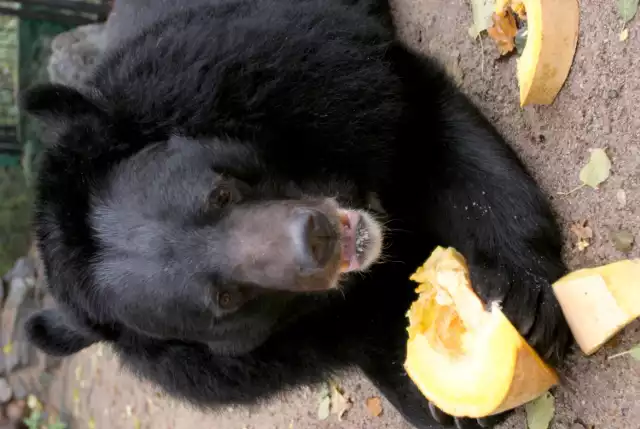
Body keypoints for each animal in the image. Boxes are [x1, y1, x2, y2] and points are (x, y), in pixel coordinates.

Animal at [21, 0, 568, 424]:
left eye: (221, 194)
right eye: (225, 299)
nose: (317, 238)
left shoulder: (299, 72)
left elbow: (428, 128)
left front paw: (521, 298)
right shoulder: (297, 343)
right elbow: (372, 338)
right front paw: (445, 402)